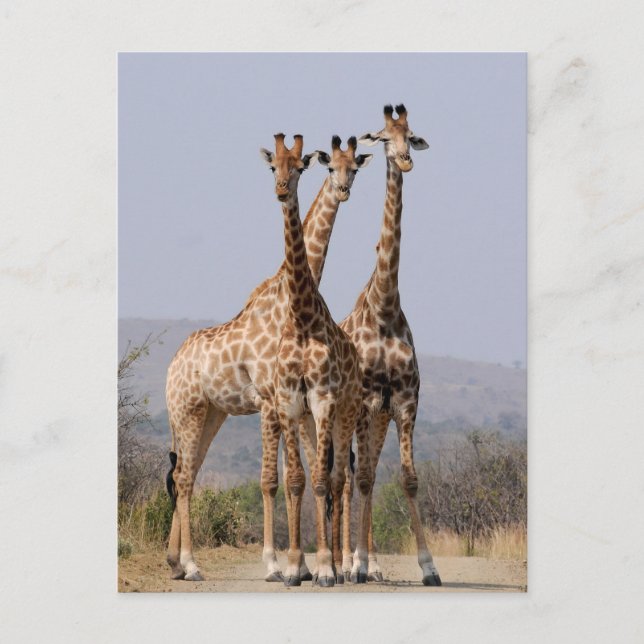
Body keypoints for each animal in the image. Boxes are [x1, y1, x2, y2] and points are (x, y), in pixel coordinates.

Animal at [164, 134, 372, 582]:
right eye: (330, 167)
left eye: (354, 169)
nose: (343, 190)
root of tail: (171, 366)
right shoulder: (269, 399)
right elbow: (270, 480)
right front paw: (278, 564)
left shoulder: (292, 403)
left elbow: (301, 476)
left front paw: (305, 566)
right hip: (188, 410)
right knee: (184, 476)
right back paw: (190, 564)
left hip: (211, 413)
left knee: (187, 472)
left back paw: (175, 561)